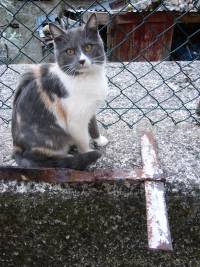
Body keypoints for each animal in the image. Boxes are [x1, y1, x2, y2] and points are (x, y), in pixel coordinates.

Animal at [11, 13, 108, 171]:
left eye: (88, 47)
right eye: (69, 51)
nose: (81, 61)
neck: (86, 78)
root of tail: (17, 149)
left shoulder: (90, 109)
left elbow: (93, 124)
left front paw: (99, 140)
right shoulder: (75, 121)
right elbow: (83, 141)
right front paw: (88, 154)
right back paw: (68, 157)